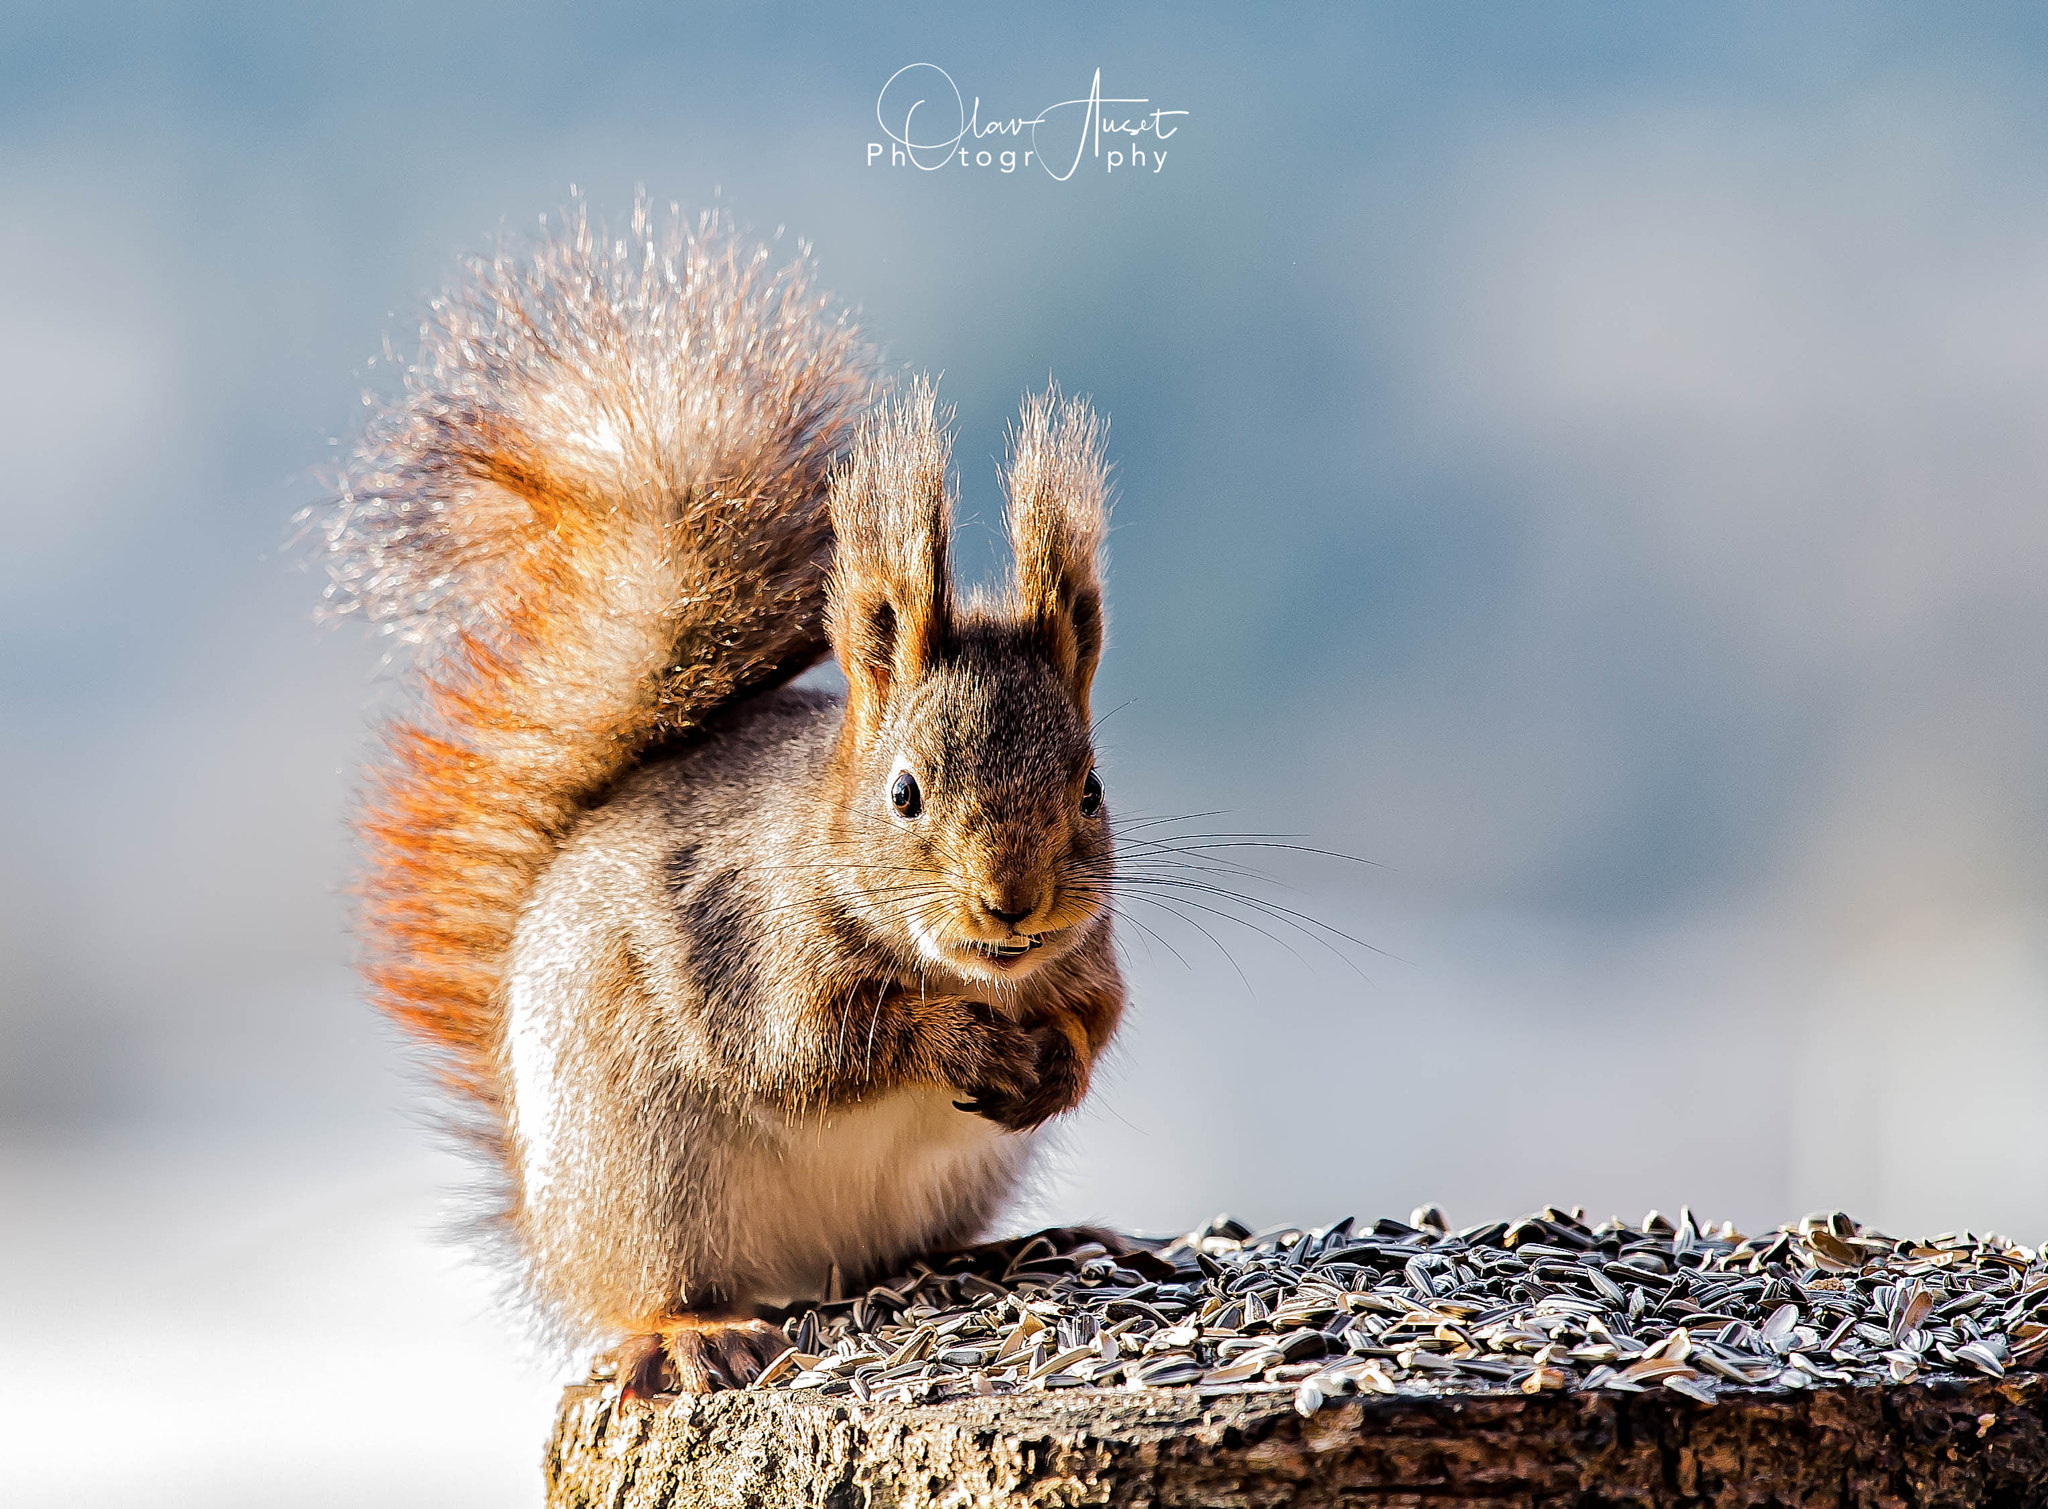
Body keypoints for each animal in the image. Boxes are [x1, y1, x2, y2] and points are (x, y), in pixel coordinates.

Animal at [318, 204, 1127, 1395]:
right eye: (903, 794)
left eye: (1091, 789)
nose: (1011, 902)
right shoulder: (747, 942)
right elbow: (810, 1053)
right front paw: (957, 1045)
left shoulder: (1090, 954)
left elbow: (1099, 1016)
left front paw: (1056, 1061)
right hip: (646, 1177)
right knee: (645, 1289)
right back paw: (695, 1332)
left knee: (901, 1259)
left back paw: (1016, 1251)